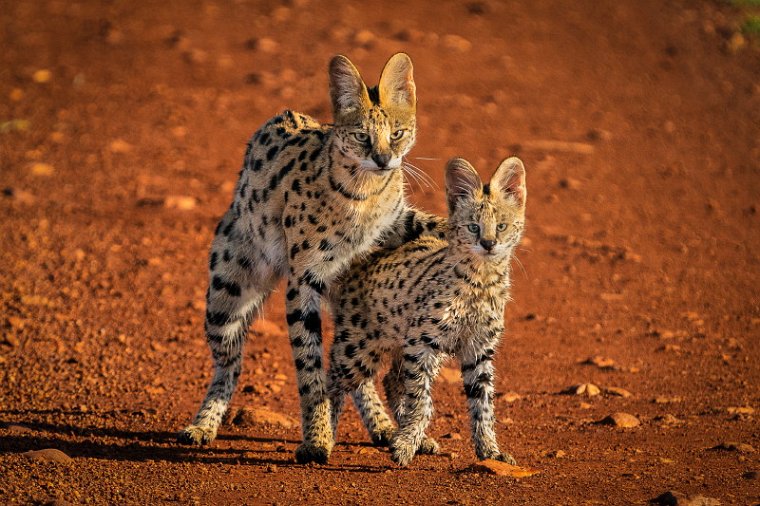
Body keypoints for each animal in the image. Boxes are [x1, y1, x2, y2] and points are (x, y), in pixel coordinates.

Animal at [177, 54, 446, 462]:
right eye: (362, 136)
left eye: (397, 133)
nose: (385, 160)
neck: (365, 193)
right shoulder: (303, 278)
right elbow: (309, 369)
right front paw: (317, 439)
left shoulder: (397, 221)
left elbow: (432, 224)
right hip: (227, 294)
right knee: (230, 365)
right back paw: (203, 424)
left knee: (357, 369)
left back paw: (385, 426)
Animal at [330, 157, 524, 466]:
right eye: (473, 227)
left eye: (502, 226)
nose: (488, 243)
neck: (481, 280)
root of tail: (363, 258)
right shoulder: (422, 342)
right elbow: (421, 400)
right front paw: (406, 443)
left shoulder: (478, 348)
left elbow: (483, 403)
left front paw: (490, 451)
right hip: (357, 346)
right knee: (331, 382)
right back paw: (319, 437)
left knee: (388, 380)